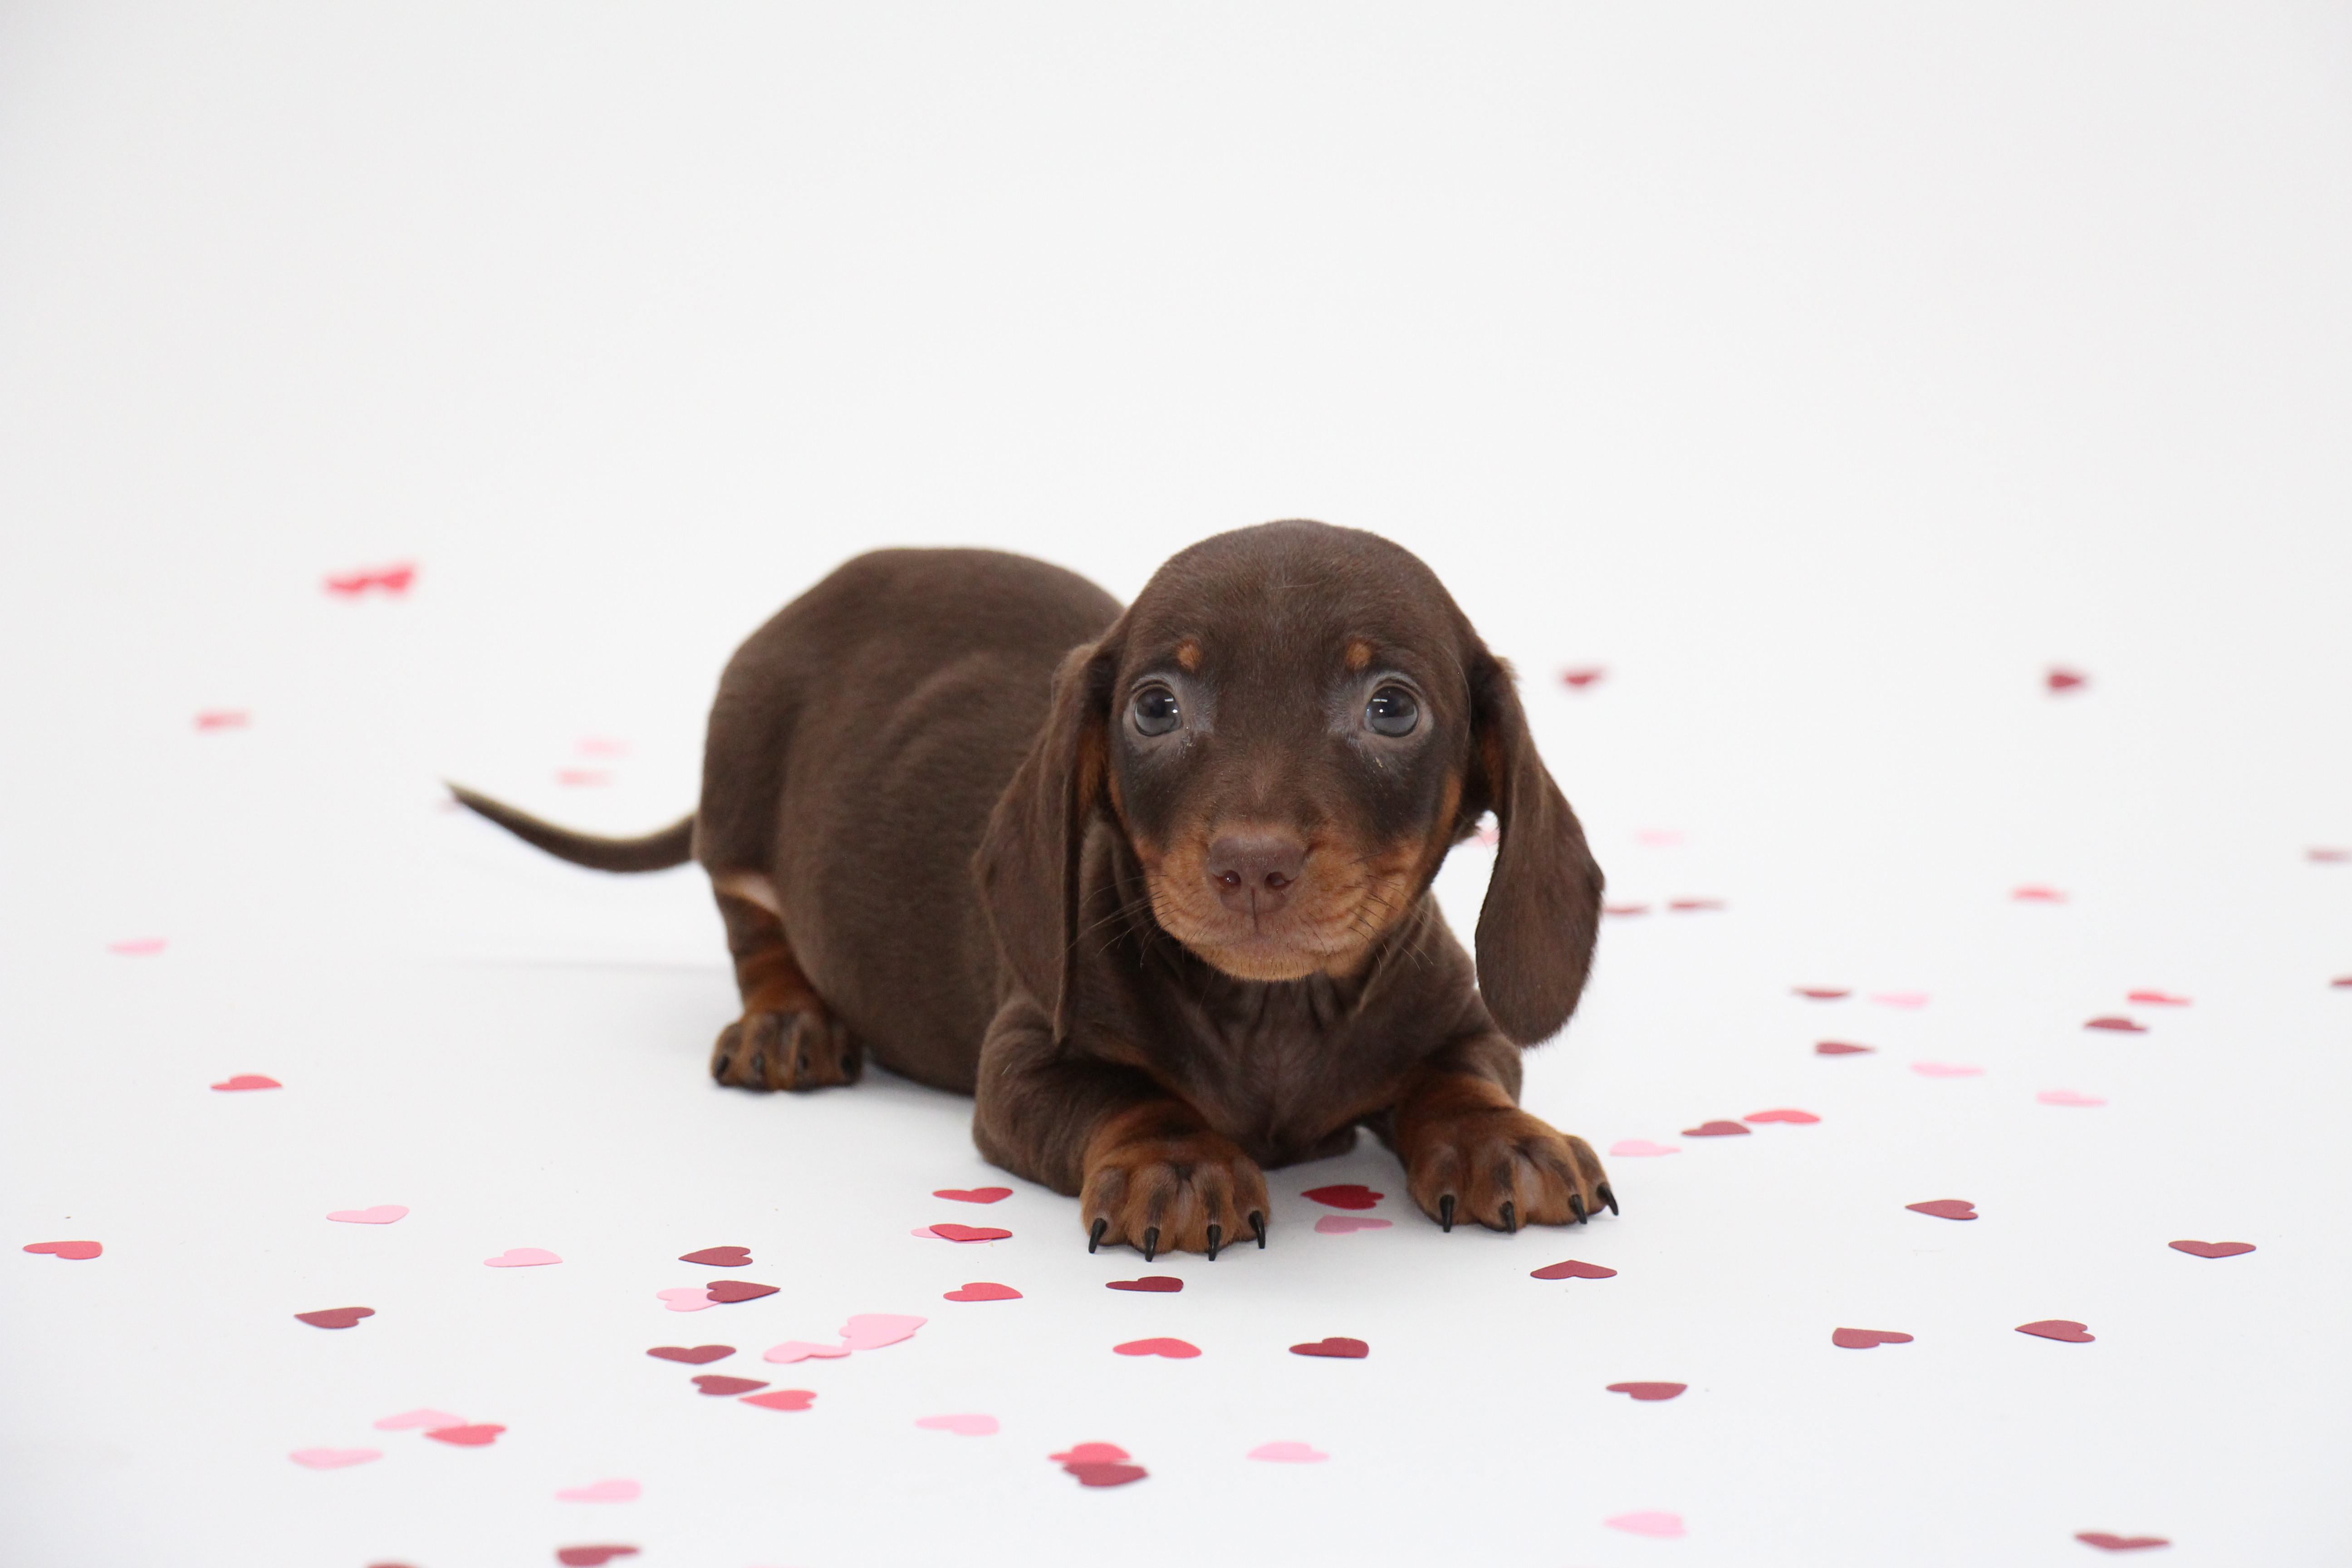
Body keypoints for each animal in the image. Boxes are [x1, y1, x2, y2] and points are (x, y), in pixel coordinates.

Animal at [449, 522, 1608, 1260]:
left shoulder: (1463, 1022)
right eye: (1155, 705)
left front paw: (1502, 1138)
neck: (1271, 1009)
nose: (1251, 864)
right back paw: (788, 1020)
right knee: (754, 926)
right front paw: (1177, 1160)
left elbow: (1459, 1076)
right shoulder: (1019, 1058)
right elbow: (1125, 1093)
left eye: (1392, 707)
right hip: (738, 785)